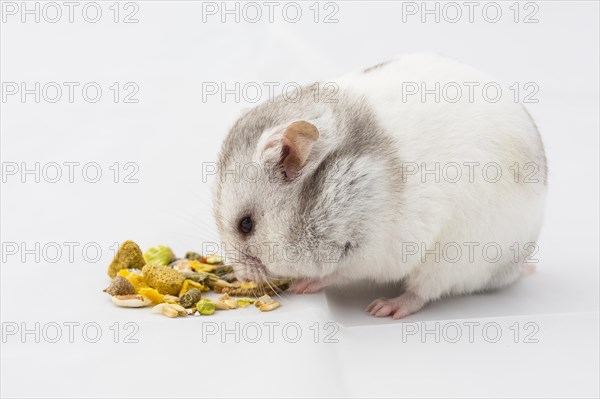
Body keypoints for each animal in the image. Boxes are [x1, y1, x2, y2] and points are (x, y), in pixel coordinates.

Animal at [213, 54, 548, 320]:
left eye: (246, 224)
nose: (240, 275)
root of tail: (518, 265)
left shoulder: (369, 250)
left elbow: (336, 272)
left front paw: (303, 285)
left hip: (453, 260)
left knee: (423, 292)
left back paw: (384, 308)